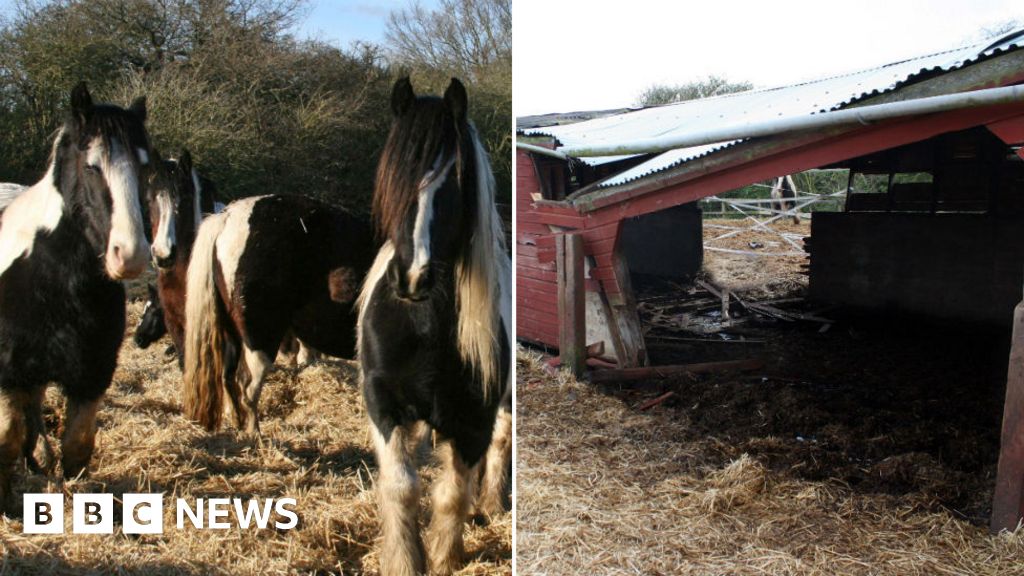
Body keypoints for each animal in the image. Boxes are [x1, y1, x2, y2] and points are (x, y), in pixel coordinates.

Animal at [0, 84, 151, 506]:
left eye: (146, 168)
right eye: (91, 166)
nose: (129, 255)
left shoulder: (93, 372)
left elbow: (77, 447)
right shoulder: (8, 375)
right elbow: (7, 440)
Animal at [184, 192, 376, 430]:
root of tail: (227, 218)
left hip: (233, 334)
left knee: (228, 377)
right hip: (260, 339)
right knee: (247, 386)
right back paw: (254, 434)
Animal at [358, 77, 512, 573]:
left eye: (454, 180)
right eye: (395, 176)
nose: (412, 276)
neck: (421, 327)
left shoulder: (472, 419)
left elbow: (450, 495)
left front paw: (445, 557)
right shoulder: (383, 404)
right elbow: (402, 487)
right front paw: (404, 559)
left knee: (499, 445)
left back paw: (491, 504)